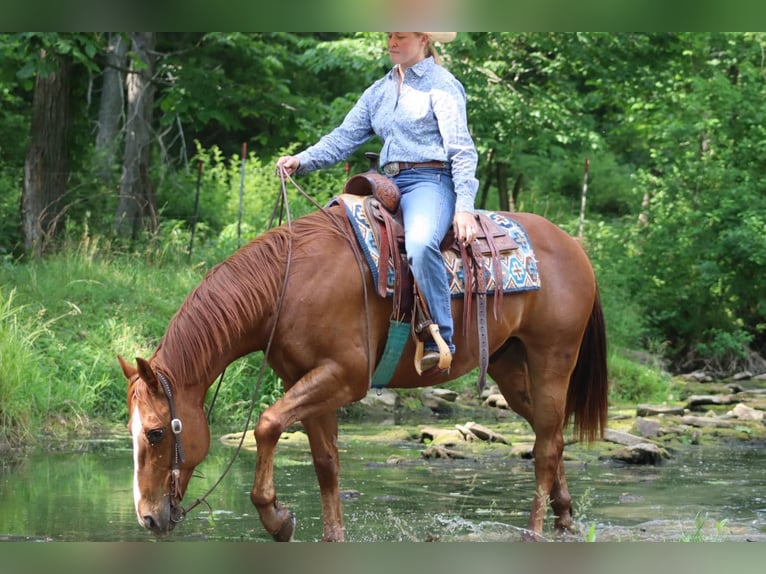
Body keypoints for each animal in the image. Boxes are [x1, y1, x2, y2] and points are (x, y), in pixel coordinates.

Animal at [120, 206, 608, 544]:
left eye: (157, 432)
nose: (146, 517)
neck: (287, 285)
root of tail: (573, 246)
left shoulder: (344, 378)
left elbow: (268, 424)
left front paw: (277, 520)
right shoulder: (306, 381)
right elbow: (325, 462)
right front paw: (330, 535)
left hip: (552, 360)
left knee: (545, 449)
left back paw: (536, 530)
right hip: (512, 367)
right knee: (551, 435)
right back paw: (565, 517)